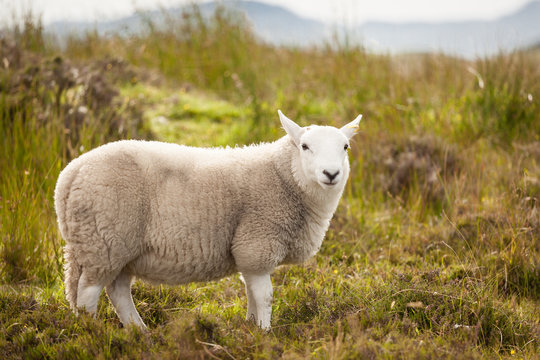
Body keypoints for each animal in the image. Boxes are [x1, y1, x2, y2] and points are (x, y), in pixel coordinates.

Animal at [53, 109, 362, 330]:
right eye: (305, 146)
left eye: (346, 147)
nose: (331, 174)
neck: (283, 177)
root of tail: (69, 175)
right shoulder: (256, 244)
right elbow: (265, 296)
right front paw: (264, 334)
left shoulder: (247, 253)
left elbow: (251, 294)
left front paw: (250, 329)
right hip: (104, 240)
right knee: (88, 295)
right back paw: (93, 332)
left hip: (114, 246)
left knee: (117, 291)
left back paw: (139, 332)